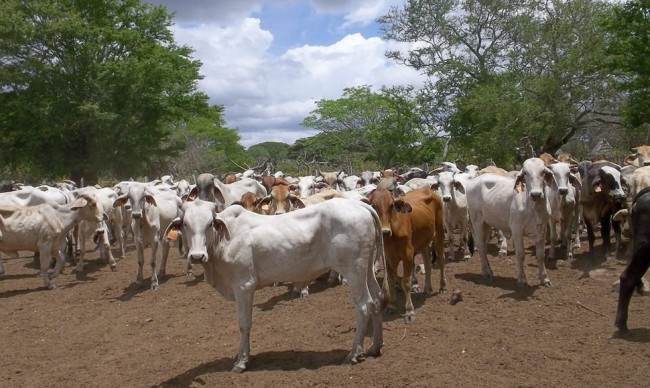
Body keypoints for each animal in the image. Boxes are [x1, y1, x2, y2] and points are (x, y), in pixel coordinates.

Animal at [165, 199, 388, 374]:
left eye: (210, 223)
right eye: (185, 224)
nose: (196, 256)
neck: (225, 240)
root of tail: (360, 205)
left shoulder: (244, 286)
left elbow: (244, 323)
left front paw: (241, 361)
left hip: (354, 270)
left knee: (363, 305)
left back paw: (353, 354)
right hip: (366, 267)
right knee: (377, 299)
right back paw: (375, 347)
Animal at [364, 186, 446, 322]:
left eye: (391, 205)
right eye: (373, 205)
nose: (385, 232)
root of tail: (427, 189)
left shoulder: (408, 254)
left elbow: (406, 282)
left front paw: (409, 311)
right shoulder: (388, 257)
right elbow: (391, 280)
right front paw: (392, 306)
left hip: (439, 234)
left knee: (441, 260)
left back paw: (443, 286)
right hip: (423, 241)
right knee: (427, 263)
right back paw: (427, 288)